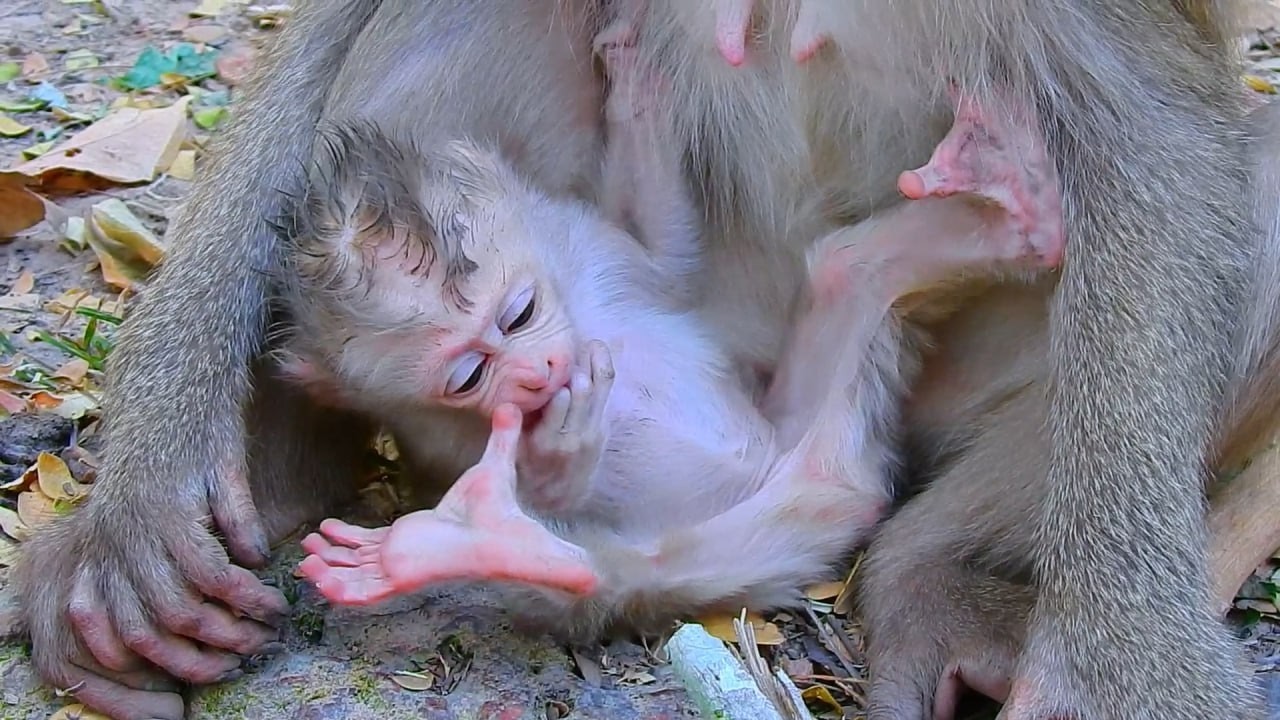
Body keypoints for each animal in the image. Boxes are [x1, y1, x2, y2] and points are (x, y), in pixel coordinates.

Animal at [11, 1, 1265, 719]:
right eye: (464, 373)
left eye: (519, 313)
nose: (535, 381)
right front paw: (142, 503)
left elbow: (1151, 107)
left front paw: (1120, 669)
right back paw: (332, 494)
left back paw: (933, 567)